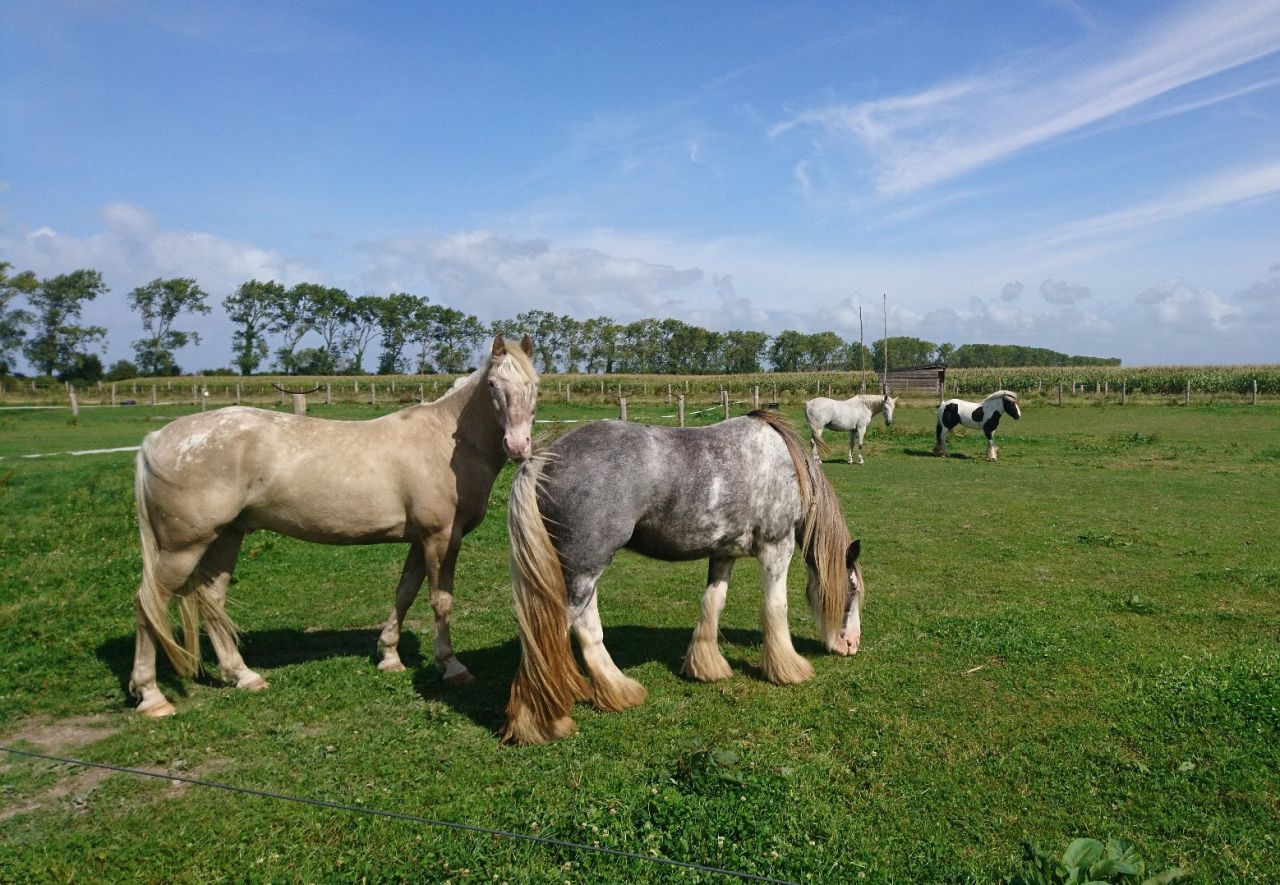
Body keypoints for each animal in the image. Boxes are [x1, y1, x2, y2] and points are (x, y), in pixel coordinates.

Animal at [128, 335, 539, 718]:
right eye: (493, 385)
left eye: (534, 383)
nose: (518, 445)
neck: (448, 441)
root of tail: (156, 440)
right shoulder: (441, 538)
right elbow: (441, 601)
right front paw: (451, 666)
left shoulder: (420, 540)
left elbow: (404, 592)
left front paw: (389, 655)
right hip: (181, 549)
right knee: (149, 604)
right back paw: (152, 697)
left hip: (225, 538)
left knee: (212, 601)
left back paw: (243, 675)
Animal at [500, 410, 865, 745]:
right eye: (853, 590)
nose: (851, 645)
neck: (784, 463)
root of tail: (542, 460)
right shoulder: (777, 547)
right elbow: (776, 608)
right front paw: (788, 669)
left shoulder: (723, 553)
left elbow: (713, 603)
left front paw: (706, 667)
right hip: (584, 568)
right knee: (549, 636)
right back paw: (538, 724)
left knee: (587, 629)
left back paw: (618, 691)